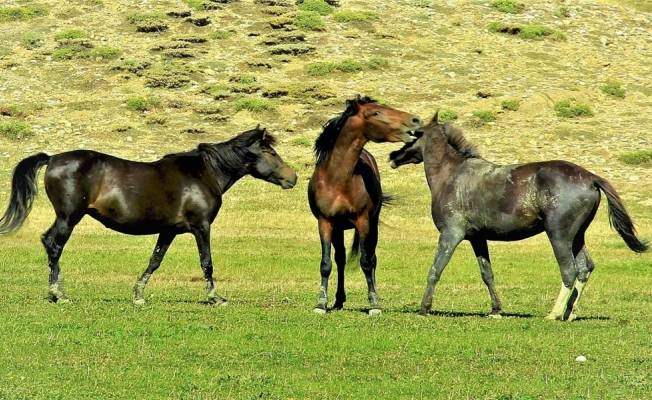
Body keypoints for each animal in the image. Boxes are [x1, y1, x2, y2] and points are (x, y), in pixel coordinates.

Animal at [0, 126, 298, 304]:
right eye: (271, 151)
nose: (292, 177)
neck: (204, 173)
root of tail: (52, 158)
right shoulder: (201, 226)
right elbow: (207, 263)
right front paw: (215, 298)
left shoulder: (168, 231)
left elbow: (155, 261)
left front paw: (138, 295)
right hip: (69, 217)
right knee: (54, 246)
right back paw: (57, 294)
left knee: (49, 243)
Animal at [306, 96, 422, 316]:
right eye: (376, 112)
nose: (416, 120)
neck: (338, 179)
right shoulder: (325, 222)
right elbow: (326, 263)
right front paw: (321, 304)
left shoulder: (363, 221)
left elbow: (366, 262)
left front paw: (374, 304)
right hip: (338, 229)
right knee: (340, 259)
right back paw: (339, 300)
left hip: (373, 224)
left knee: (372, 258)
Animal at [388, 112, 648, 322]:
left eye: (414, 134)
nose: (392, 156)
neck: (453, 174)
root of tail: (591, 177)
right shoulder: (477, 239)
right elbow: (487, 274)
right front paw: (495, 310)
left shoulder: (450, 235)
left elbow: (435, 269)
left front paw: (424, 309)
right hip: (577, 237)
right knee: (585, 268)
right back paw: (569, 313)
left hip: (559, 236)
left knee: (569, 270)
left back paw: (554, 314)